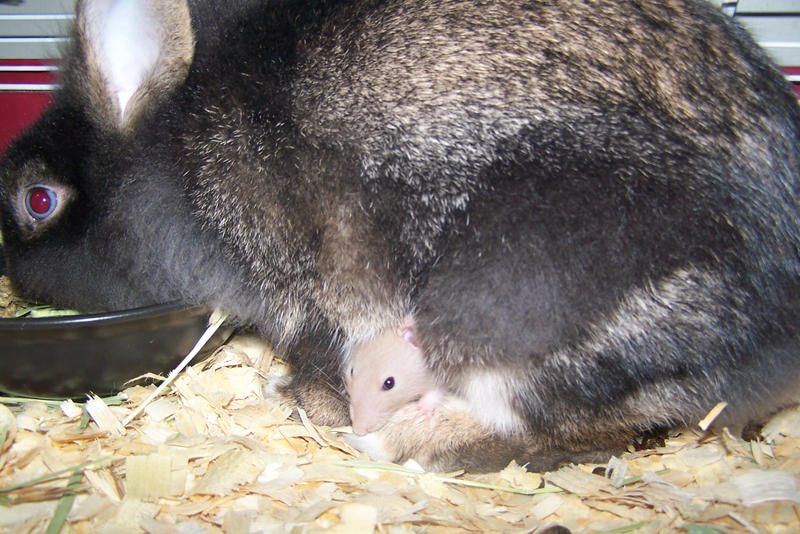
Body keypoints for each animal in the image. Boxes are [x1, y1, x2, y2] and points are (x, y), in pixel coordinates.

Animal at [1, 0, 800, 472]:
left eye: (37, 200)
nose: (13, 271)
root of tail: (772, 350)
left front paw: (311, 400)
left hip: (506, 298)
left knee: (561, 432)